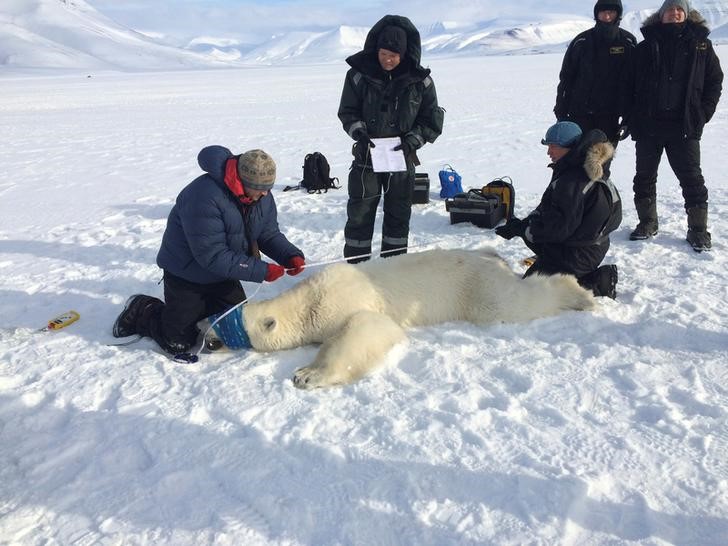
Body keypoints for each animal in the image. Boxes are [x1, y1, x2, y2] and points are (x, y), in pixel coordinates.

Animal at [215, 246, 592, 386]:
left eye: (225, 328)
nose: (206, 338)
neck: (310, 298)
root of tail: (490, 256)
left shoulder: (347, 302)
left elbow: (367, 328)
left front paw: (307, 375)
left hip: (479, 289)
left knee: (514, 304)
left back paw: (580, 294)